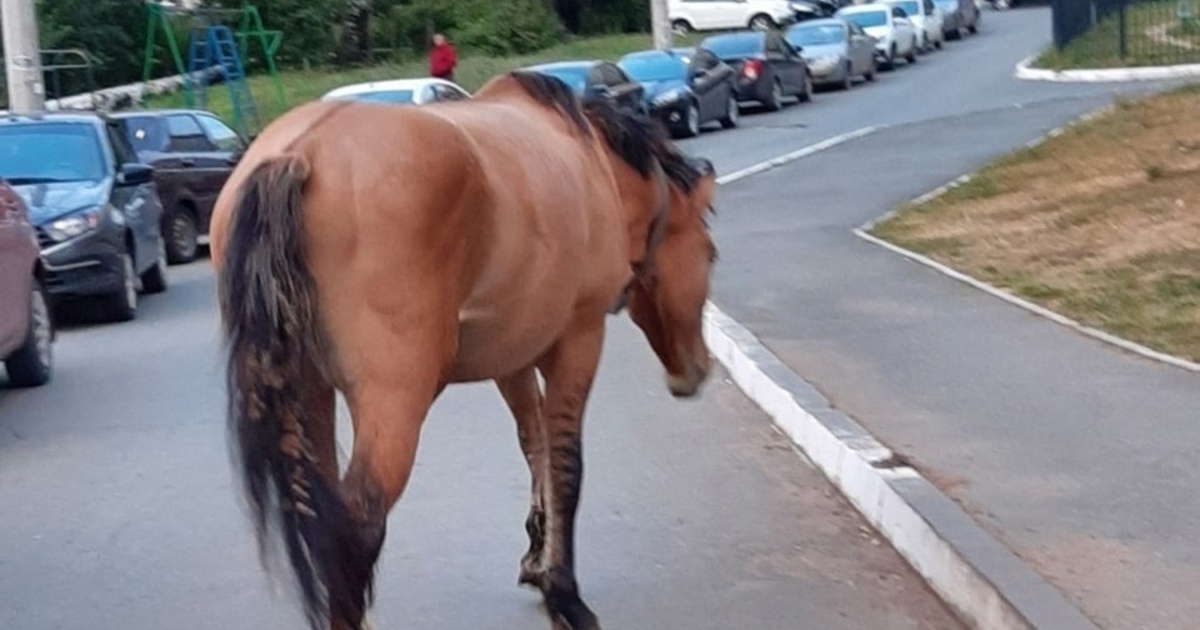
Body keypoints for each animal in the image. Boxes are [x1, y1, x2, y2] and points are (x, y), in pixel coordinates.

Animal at [210, 69, 715, 628]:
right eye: (710, 253)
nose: (696, 369)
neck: (593, 162)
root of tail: (299, 154)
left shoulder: (513, 359)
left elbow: (535, 446)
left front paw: (537, 557)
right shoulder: (578, 340)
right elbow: (567, 466)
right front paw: (564, 593)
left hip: (310, 393)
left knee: (320, 514)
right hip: (395, 402)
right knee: (357, 524)